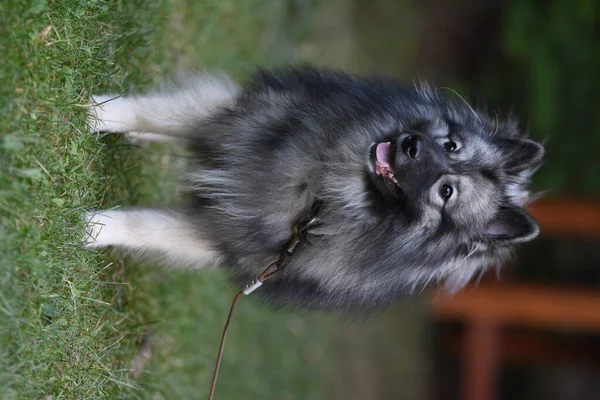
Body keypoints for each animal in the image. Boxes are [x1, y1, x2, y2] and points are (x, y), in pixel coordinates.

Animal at [85, 66, 544, 310]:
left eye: (447, 192)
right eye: (451, 145)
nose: (410, 146)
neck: (326, 187)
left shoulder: (221, 236)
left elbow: (143, 227)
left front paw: (96, 228)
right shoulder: (237, 115)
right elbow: (146, 112)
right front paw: (95, 113)